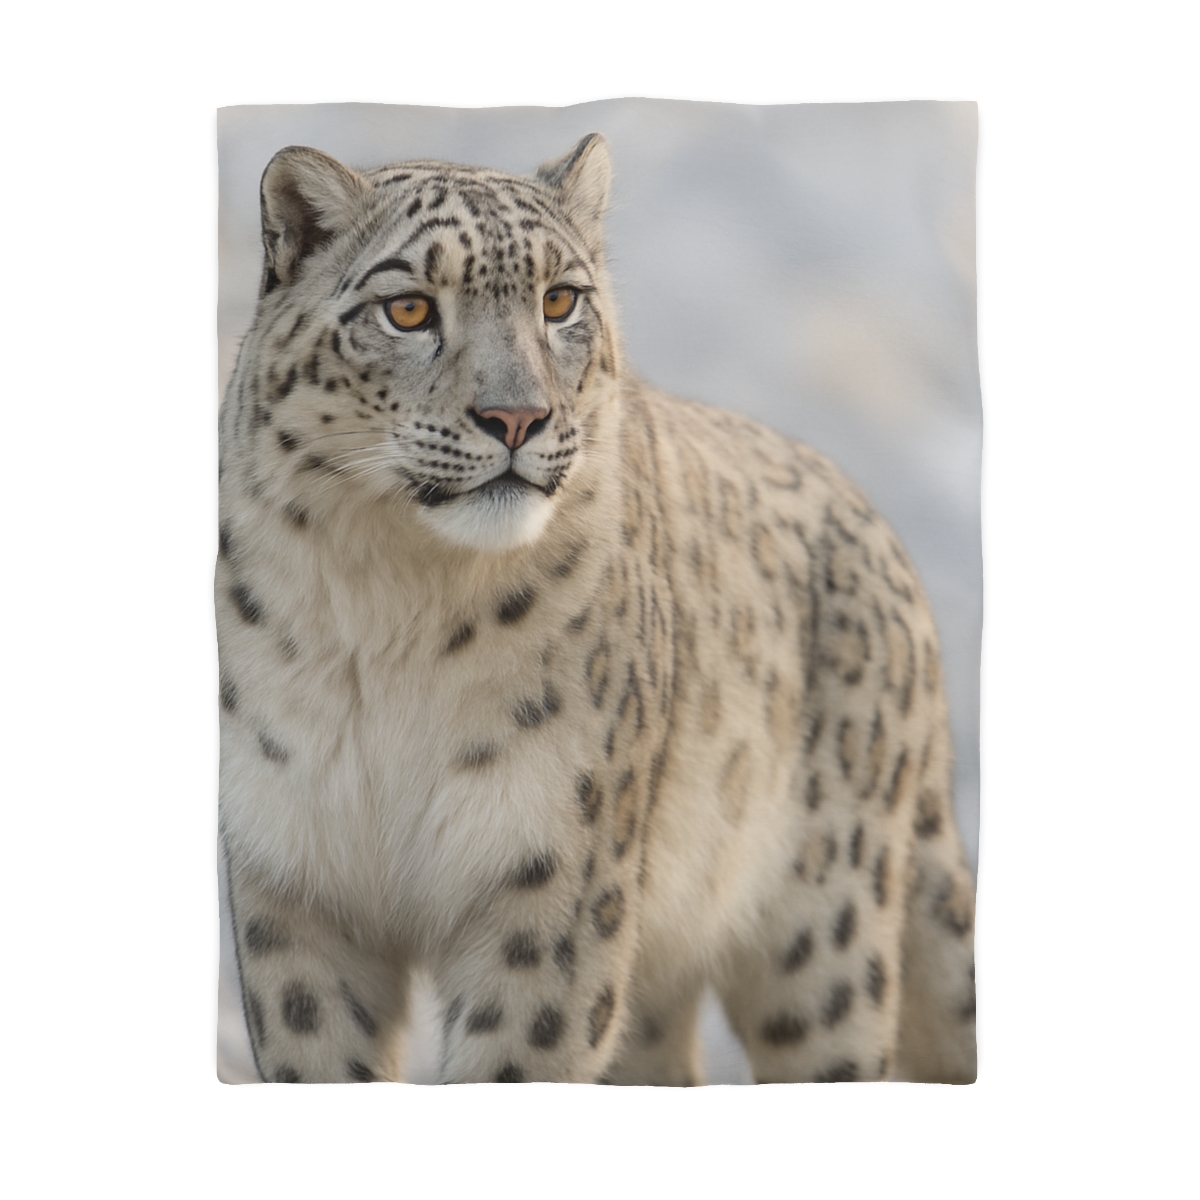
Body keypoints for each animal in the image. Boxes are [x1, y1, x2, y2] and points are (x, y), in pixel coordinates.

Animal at [216, 133, 977, 1085]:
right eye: (409, 309)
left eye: (559, 299)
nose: (517, 417)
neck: (391, 608)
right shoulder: (295, 884)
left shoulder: (553, 884)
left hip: (820, 946)